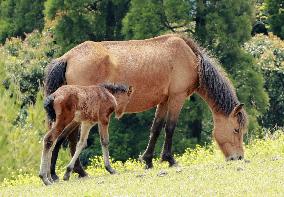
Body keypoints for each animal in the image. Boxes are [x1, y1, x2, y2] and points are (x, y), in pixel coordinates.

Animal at [45, 33, 248, 180]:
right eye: (236, 130)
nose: (238, 157)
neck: (190, 58)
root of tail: (67, 57)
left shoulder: (164, 101)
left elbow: (156, 128)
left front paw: (148, 160)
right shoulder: (177, 97)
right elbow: (170, 128)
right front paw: (170, 159)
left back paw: (67, 172)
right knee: (68, 137)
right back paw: (73, 171)